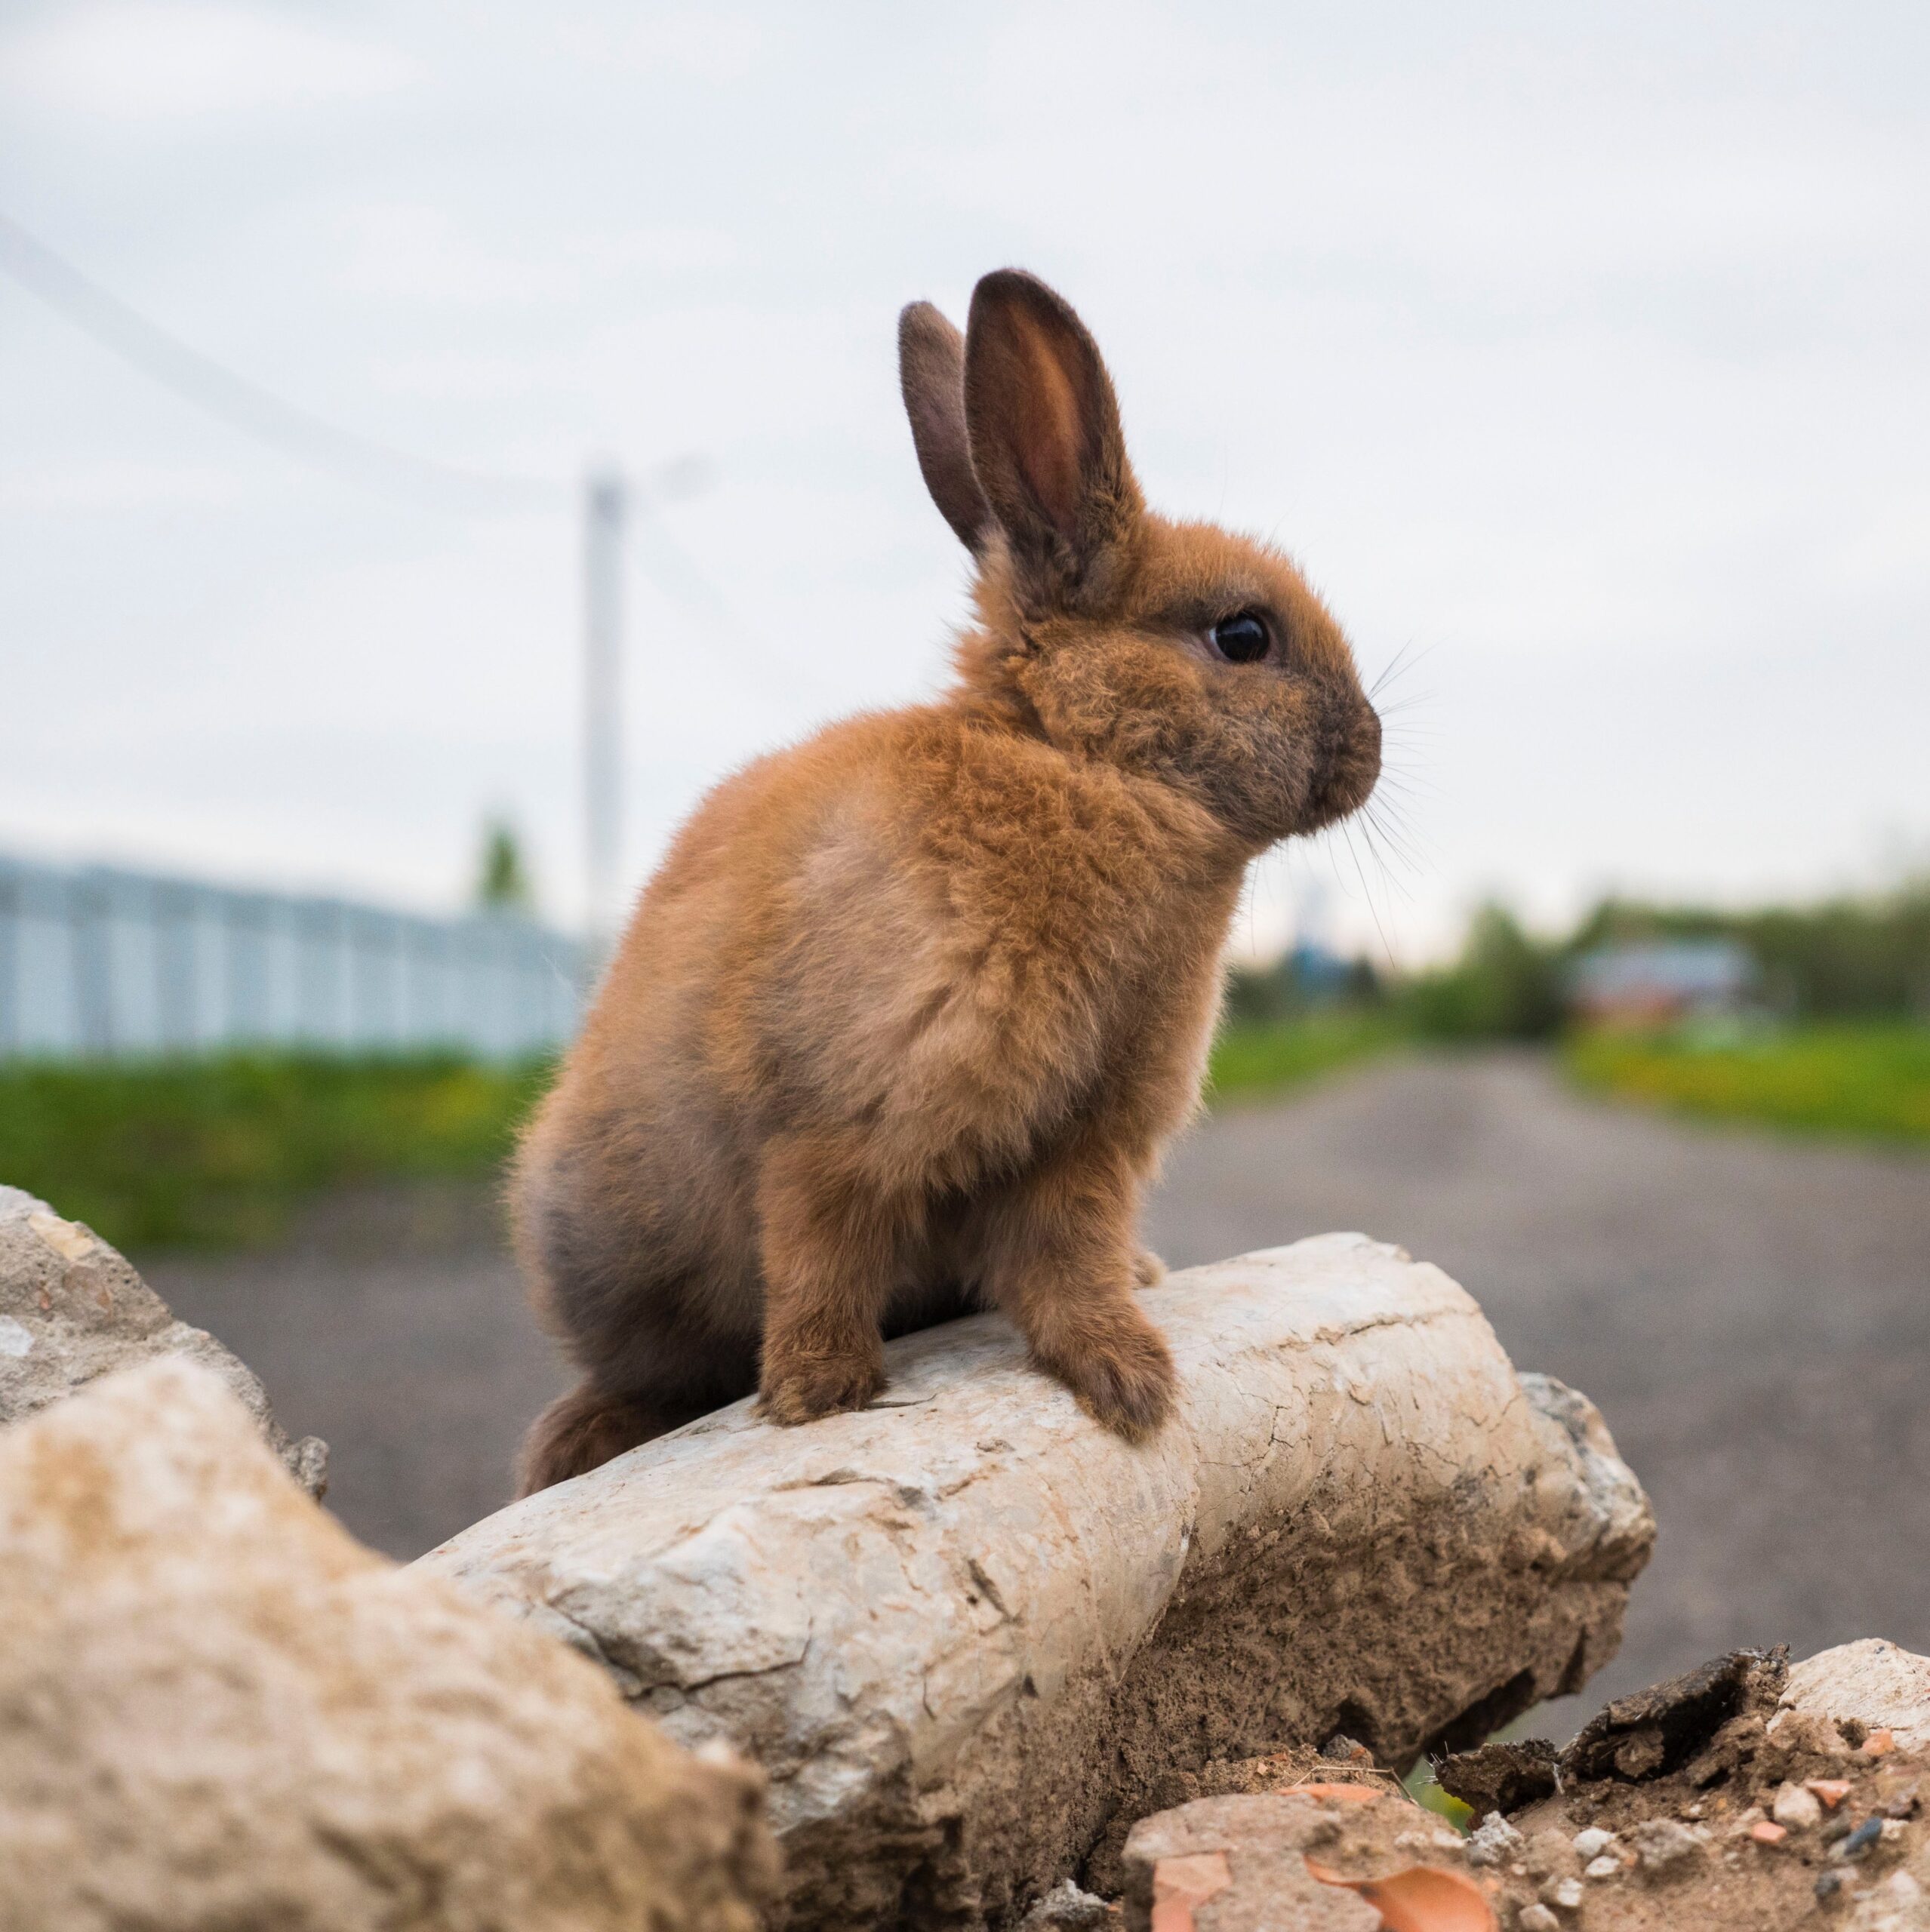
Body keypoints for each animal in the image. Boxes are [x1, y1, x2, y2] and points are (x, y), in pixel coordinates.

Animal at [513, 268, 1383, 1491]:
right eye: (1243, 636)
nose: (1370, 751)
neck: (1077, 764)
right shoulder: (837, 1119)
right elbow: (821, 1248)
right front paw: (819, 1395)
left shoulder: (1084, 1146)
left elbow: (1068, 1263)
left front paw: (1127, 1377)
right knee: (657, 1368)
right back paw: (584, 1439)